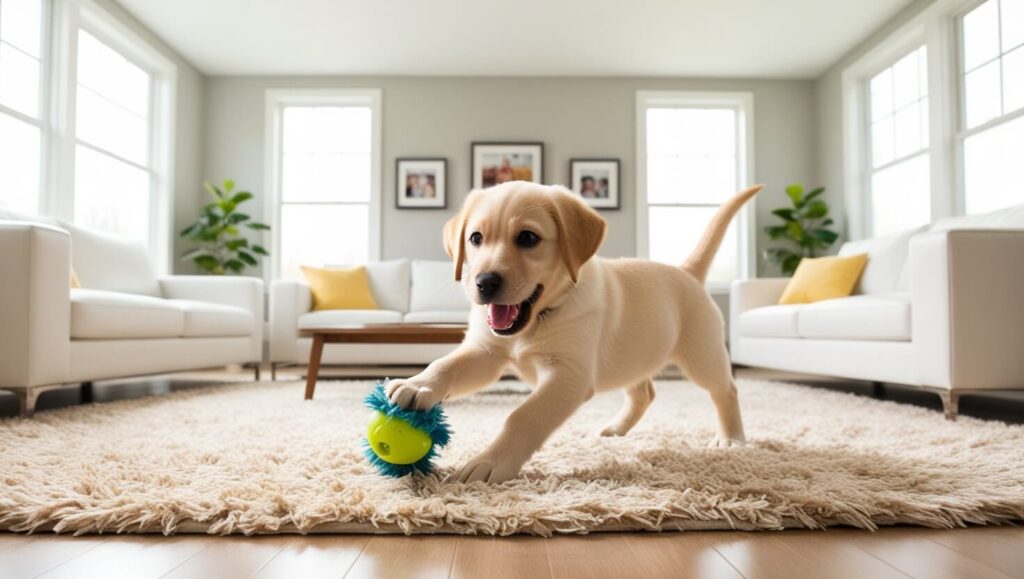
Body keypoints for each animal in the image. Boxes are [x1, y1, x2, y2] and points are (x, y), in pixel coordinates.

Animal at [387, 180, 765, 483]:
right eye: (476, 238)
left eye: (528, 238)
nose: (485, 282)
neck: (539, 318)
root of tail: (687, 272)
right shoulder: (486, 351)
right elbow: (446, 364)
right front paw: (417, 384)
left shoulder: (569, 374)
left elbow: (522, 416)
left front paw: (490, 462)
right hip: (632, 357)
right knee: (643, 393)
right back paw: (616, 429)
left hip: (701, 353)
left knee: (726, 390)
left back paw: (731, 438)